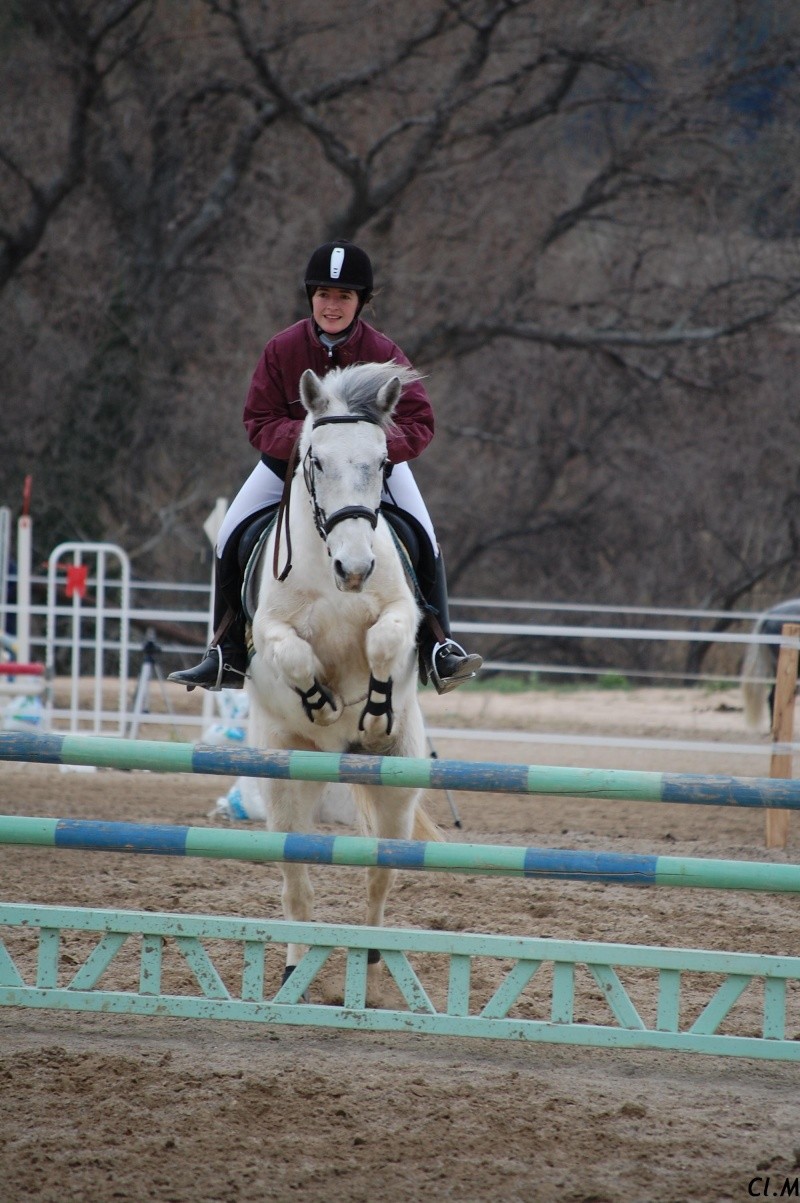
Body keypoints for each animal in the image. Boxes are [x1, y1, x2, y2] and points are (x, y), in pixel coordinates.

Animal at [245, 356, 440, 996]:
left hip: (398, 784)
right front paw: (324, 704)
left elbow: (382, 640)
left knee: (380, 872)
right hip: (284, 781)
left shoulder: (401, 614)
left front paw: (372, 708)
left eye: (380, 462)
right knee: (297, 884)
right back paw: (292, 969)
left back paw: (373, 955)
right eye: (316, 461)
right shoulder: (271, 630)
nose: (354, 570)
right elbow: (296, 656)